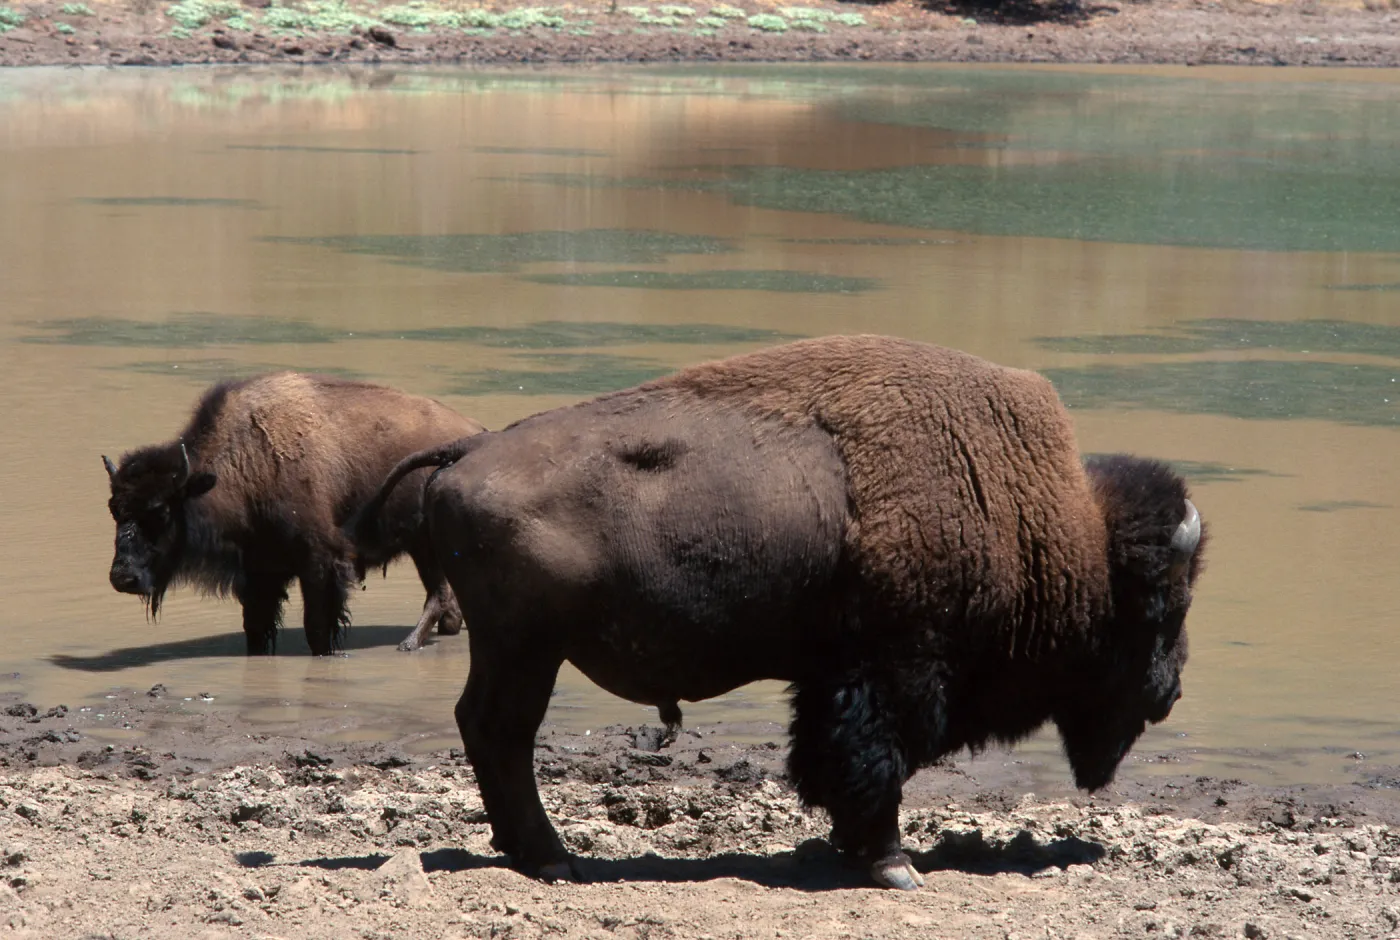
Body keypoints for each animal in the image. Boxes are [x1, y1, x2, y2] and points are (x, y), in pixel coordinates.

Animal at [103, 372, 486, 655]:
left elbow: (316, 626)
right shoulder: (258, 570)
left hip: (425, 546)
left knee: (437, 595)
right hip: (425, 548)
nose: (123, 577)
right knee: (446, 600)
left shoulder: (319, 561)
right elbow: (256, 627)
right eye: (114, 510)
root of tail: (475, 432)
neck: (245, 464)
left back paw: (407, 644)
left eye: (160, 511)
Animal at [348, 335, 1207, 889]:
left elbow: (828, 756)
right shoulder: (896, 669)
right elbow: (875, 761)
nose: (1170, 694)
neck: (1039, 520)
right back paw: (552, 858)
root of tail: (468, 452)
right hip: (527, 648)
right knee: (502, 732)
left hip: (516, 649)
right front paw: (894, 864)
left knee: (487, 729)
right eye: (1164, 604)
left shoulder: (830, 675)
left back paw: (532, 852)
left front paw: (849, 847)